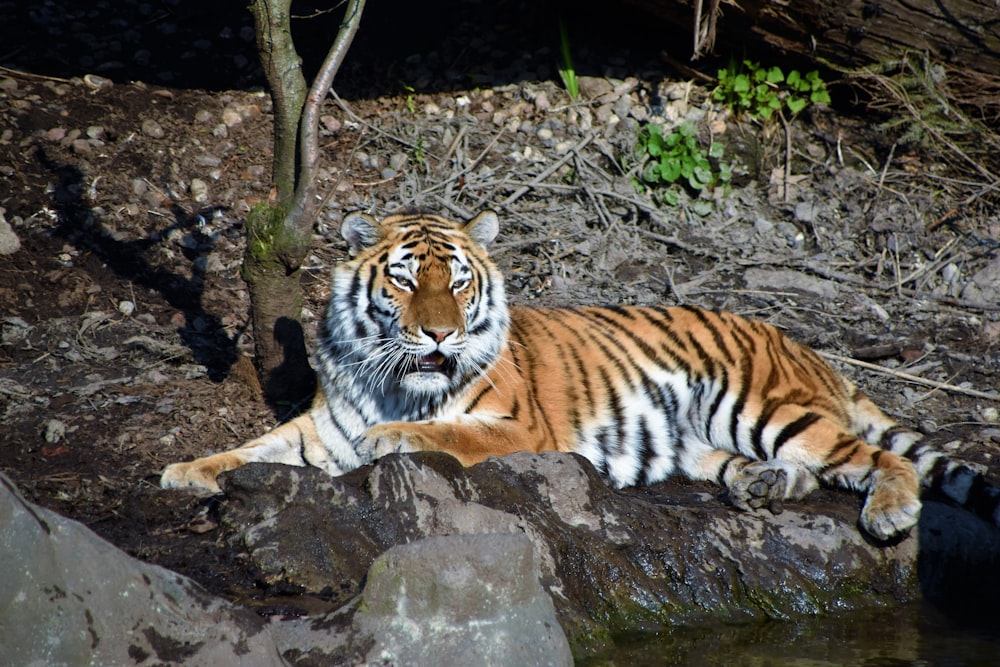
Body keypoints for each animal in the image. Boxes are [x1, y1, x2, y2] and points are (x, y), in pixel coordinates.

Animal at [160, 210, 996, 544]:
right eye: (402, 280)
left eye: (456, 281)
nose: (439, 331)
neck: (392, 377)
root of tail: (809, 348)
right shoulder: (322, 426)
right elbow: (256, 448)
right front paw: (185, 470)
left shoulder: (522, 426)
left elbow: (444, 432)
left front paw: (393, 437)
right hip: (708, 440)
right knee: (802, 468)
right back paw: (763, 487)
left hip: (763, 405)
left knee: (872, 456)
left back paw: (889, 510)